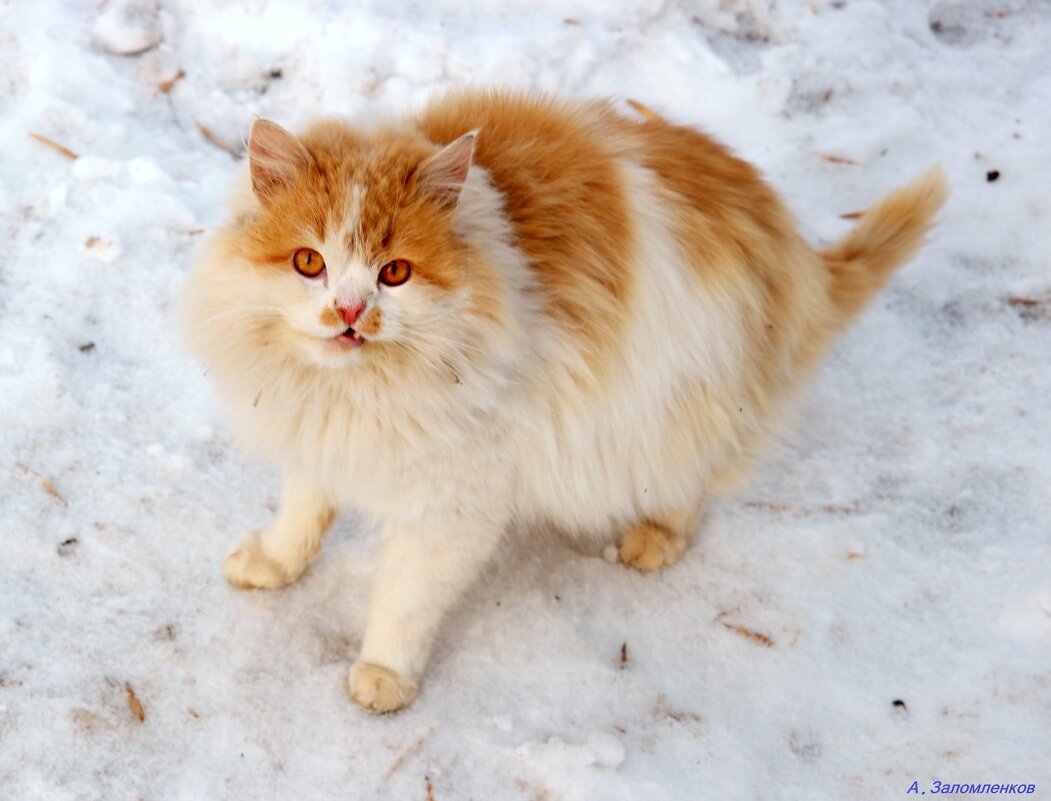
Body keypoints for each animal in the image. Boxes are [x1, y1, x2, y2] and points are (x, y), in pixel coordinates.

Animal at [176, 88, 950, 710]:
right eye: (309, 261)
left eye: (394, 273)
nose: (348, 311)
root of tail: (791, 246)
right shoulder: (319, 433)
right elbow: (302, 513)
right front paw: (275, 563)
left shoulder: (455, 502)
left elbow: (405, 600)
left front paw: (384, 675)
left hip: (674, 405)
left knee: (692, 485)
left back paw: (654, 538)